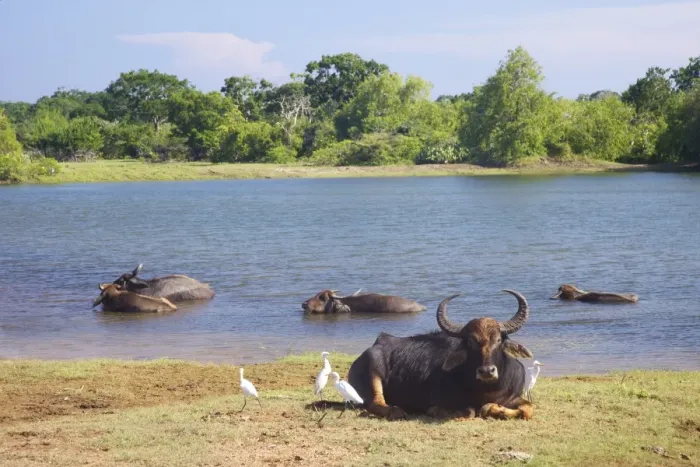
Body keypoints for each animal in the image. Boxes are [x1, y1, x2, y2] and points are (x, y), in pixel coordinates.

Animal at [347, 290, 535, 421]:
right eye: (470, 342)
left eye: (498, 340)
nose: (487, 371)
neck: (486, 389)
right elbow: (469, 411)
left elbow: (528, 409)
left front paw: (494, 408)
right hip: (374, 373)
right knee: (375, 403)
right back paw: (396, 410)